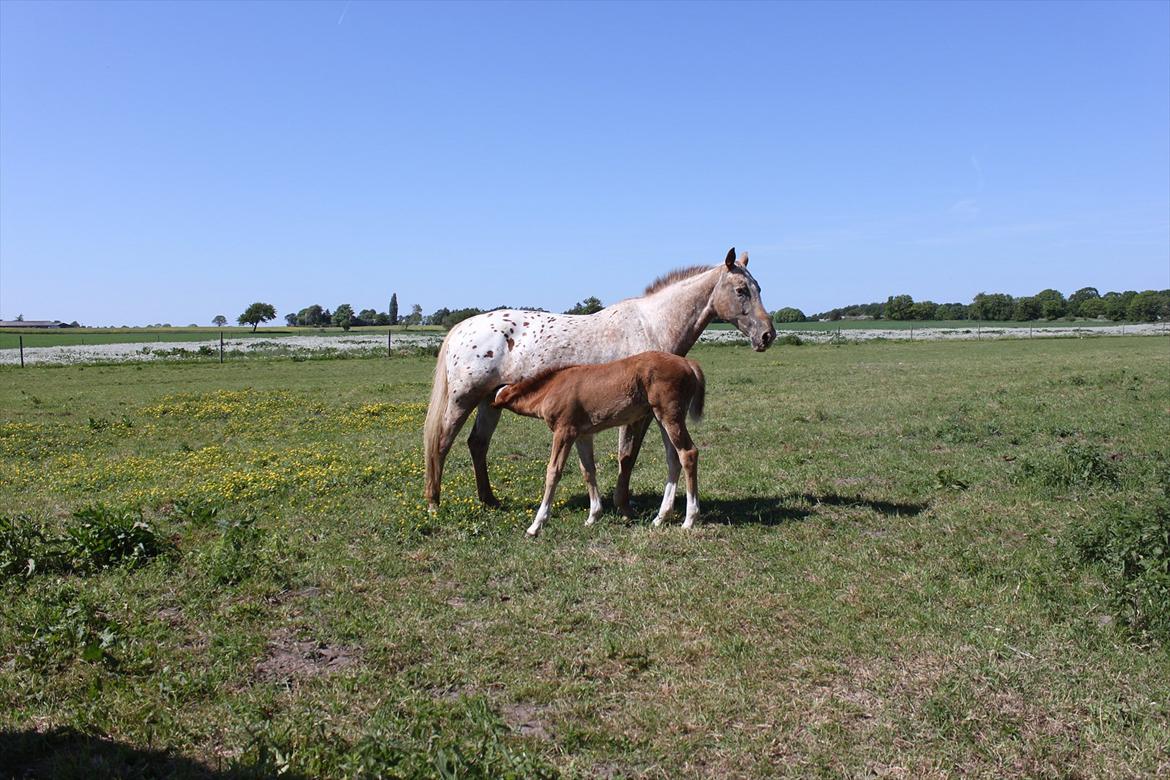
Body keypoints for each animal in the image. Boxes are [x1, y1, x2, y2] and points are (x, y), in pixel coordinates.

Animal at [423, 245, 776, 512]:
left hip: (491, 401)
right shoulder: (637, 414)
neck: (652, 325)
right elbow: (627, 456)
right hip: (463, 399)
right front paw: (623, 506)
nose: (767, 335)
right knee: (442, 443)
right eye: (742, 290)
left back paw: (489, 501)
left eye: (759, 288)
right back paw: (434, 503)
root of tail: (461, 327)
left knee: (477, 444)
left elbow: (630, 457)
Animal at [491, 353, 706, 537]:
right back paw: (660, 518)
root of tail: (688, 363)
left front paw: (536, 525)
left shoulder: (564, 431)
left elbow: (553, 471)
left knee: (688, 453)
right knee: (673, 459)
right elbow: (588, 470)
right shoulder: (582, 435)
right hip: (660, 417)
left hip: (670, 415)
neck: (551, 389)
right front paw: (593, 516)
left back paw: (689, 519)